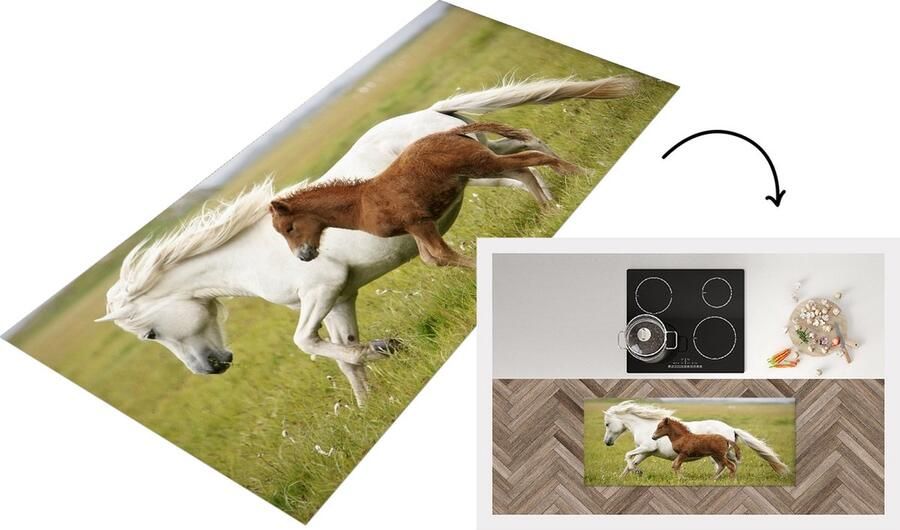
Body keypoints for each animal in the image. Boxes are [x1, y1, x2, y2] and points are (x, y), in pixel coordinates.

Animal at [268, 122, 582, 268]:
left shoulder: (420, 222)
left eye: (289, 228)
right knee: (524, 170)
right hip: (480, 167)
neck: (362, 204)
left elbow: (441, 253)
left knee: (532, 158)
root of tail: (452, 131)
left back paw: (578, 172)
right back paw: (550, 208)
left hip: (483, 164)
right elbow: (433, 259)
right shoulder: (413, 227)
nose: (303, 256)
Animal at [602, 400, 789, 477]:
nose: (607, 443)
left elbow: (627, 455)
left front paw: (637, 472)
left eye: (607, 424)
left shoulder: (648, 448)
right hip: (719, 454)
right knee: (727, 464)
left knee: (730, 464)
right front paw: (626, 476)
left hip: (720, 454)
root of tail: (731, 429)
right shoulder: (647, 452)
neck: (645, 426)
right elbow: (631, 462)